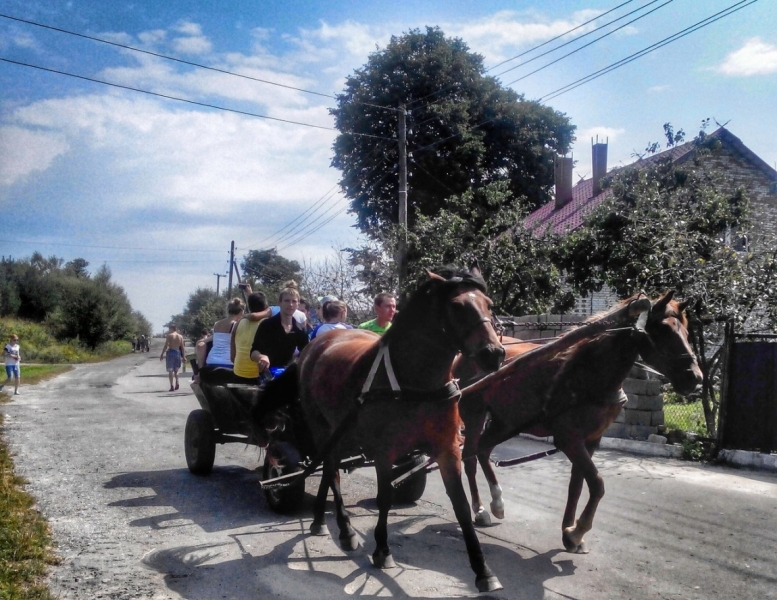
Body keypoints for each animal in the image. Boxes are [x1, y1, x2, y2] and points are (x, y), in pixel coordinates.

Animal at [258, 266, 506, 592]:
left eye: (489, 304)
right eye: (457, 306)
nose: (494, 354)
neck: (414, 381)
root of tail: (318, 342)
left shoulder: (447, 448)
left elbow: (461, 505)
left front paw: (483, 569)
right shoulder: (385, 451)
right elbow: (384, 497)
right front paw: (381, 550)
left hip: (341, 432)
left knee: (328, 469)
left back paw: (319, 521)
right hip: (322, 428)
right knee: (331, 471)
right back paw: (344, 530)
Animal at [454, 290, 704, 552]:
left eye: (687, 332)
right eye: (664, 329)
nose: (696, 378)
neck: (588, 371)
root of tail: (463, 355)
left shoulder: (591, 440)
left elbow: (577, 484)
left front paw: (568, 531)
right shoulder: (569, 439)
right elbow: (597, 483)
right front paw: (577, 531)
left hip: (506, 422)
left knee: (483, 451)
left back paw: (497, 503)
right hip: (475, 415)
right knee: (469, 457)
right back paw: (480, 510)